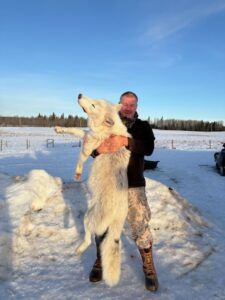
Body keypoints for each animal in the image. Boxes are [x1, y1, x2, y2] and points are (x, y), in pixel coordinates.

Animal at [54, 94, 131, 286]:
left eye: (94, 104)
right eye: (94, 99)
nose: (80, 94)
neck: (107, 131)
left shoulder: (89, 145)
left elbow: (80, 159)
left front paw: (77, 174)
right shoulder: (87, 134)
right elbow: (74, 130)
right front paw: (59, 129)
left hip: (88, 218)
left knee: (89, 239)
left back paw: (79, 250)